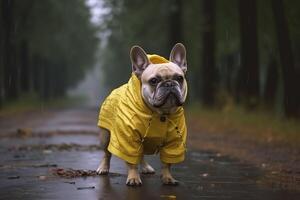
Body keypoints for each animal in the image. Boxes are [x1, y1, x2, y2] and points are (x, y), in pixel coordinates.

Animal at [96, 43, 188, 186]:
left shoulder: (174, 142)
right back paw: (103, 168)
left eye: (179, 78)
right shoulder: (129, 140)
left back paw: (146, 168)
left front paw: (168, 178)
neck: (161, 113)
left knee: (141, 155)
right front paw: (133, 178)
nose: (169, 84)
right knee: (107, 153)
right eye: (154, 81)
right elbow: (131, 162)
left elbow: (167, 163)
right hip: (105, 136)